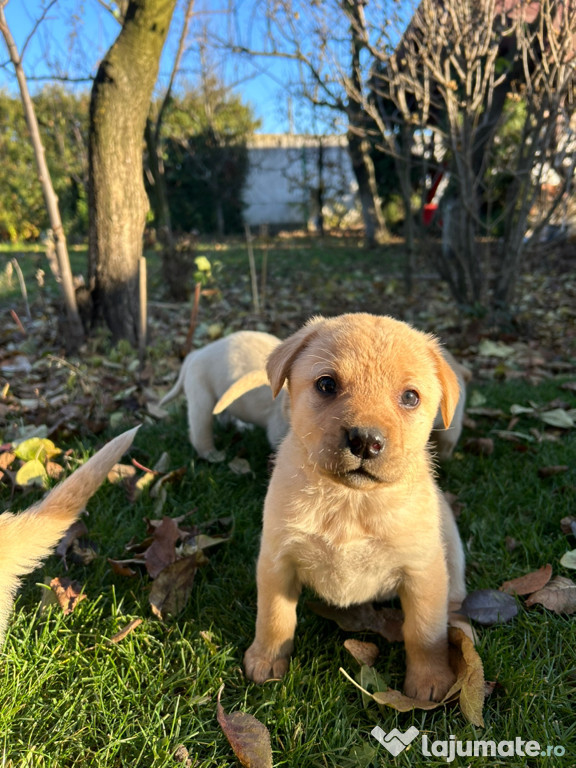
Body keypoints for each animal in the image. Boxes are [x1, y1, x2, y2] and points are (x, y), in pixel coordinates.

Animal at [244, 312, 468, 704]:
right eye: (326, 384)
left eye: (410, 397)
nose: (365, 441)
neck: (351, 503)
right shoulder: (277, 559)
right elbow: (274, 616)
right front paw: (266, 660)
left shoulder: (422, 571)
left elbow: (425, 631)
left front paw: (430, 679)